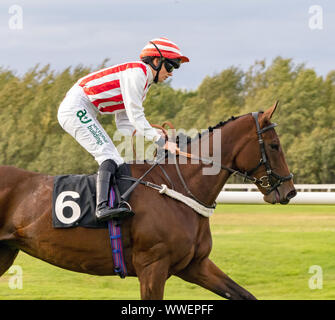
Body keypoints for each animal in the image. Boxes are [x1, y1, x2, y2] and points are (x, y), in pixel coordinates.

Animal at [0, 103, 296, 300]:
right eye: (274, 146)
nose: (290, 190)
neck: (178, 188)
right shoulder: (152, 266)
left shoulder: (194, 264)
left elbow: (245, 295)